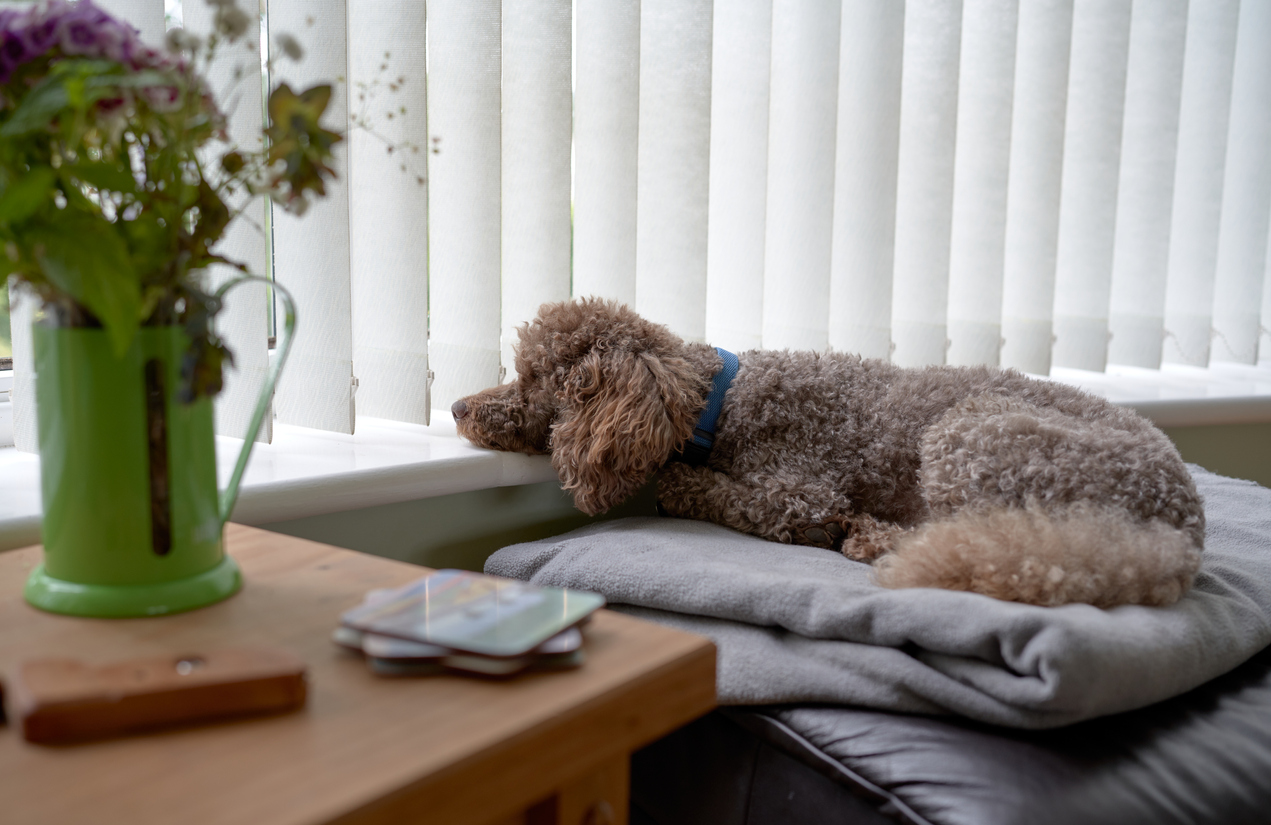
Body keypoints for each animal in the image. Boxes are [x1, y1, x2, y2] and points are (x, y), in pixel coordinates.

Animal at [455, 296, 1199, 605]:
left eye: (532, 377)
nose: (459, 408)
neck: (721, 397)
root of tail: (1184, 522)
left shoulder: (799, 488)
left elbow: (694, 486)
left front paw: (683, 483)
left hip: (972, 434)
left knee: (977, 539)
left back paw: (867, 536)